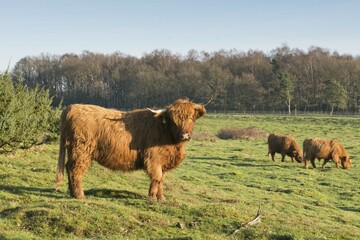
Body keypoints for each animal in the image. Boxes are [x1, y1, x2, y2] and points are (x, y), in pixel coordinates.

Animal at [53, 98, 205, 200]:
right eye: (173, 120)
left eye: (192, 117)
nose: (184, 135)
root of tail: (72, 107)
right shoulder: (153, 159)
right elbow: (156, 177)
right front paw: (152, 197)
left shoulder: (164, 162)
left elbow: (161, 179)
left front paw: (161, 198)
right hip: (81, 150)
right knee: (75, 170)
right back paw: (79, 195)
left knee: (69, 167)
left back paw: (72, 192)